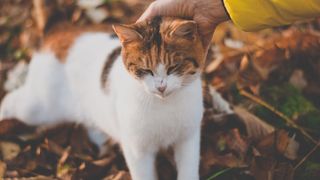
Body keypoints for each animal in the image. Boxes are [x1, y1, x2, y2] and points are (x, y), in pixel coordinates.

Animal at [0, 16, 205, 180]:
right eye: (146, 70)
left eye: (173, 67)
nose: (161, 87)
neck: (164, 104)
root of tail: (62, 32)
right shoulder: (137, 149)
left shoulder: (188, 138)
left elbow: (188, 169)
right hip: (39, 108)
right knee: (11, 101)